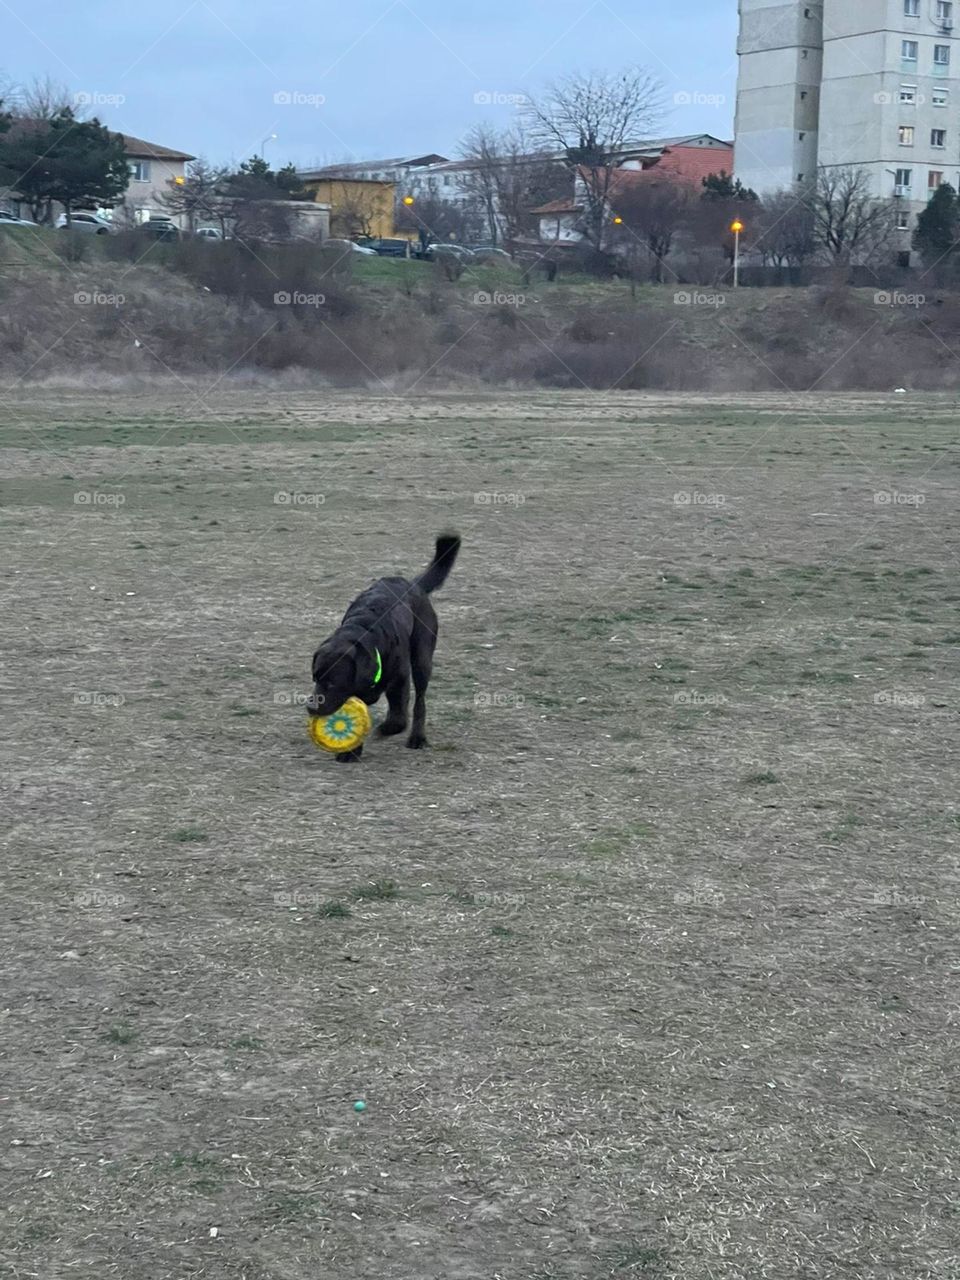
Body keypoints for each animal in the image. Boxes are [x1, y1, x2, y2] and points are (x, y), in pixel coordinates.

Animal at [305, 529, 460, 757]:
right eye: (315, 678)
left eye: (332, 683)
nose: (311, 707)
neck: (363, 632)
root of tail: (413, 585)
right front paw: (350, 752)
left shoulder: (400, 679)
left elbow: (399, 715)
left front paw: (388, 728)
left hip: (422, 659)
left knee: (420, 702)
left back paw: (417, 737)